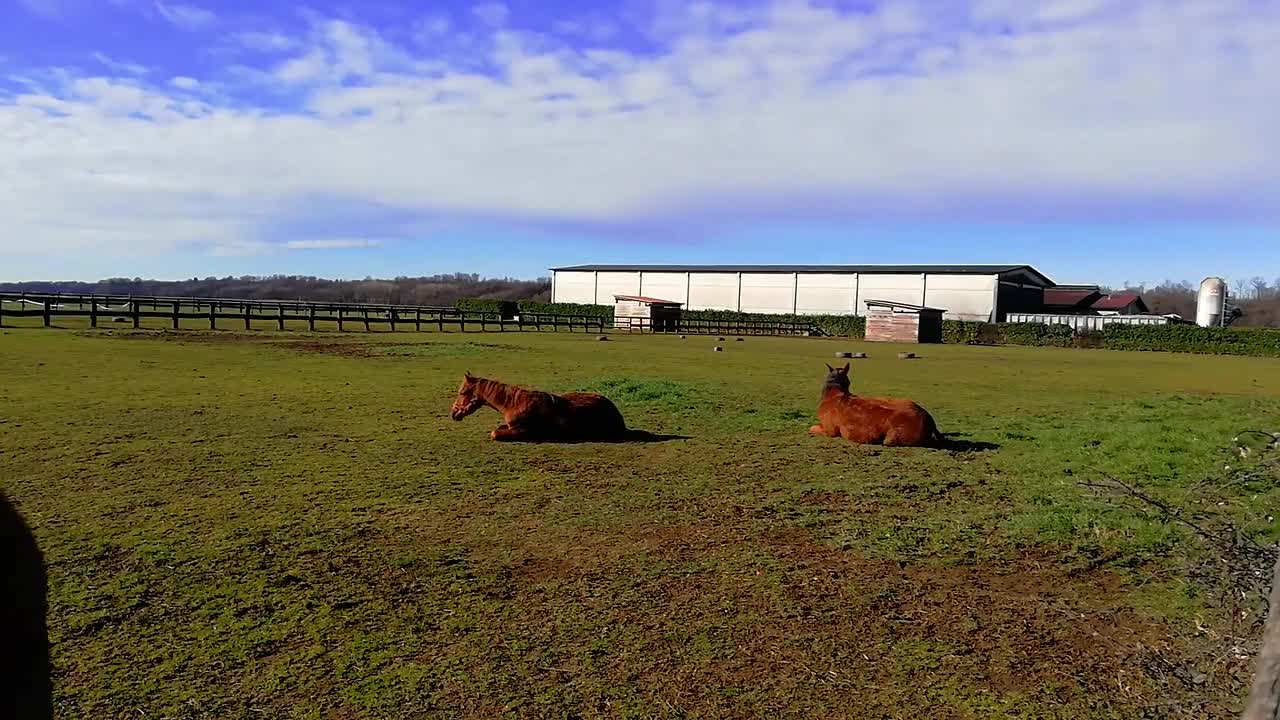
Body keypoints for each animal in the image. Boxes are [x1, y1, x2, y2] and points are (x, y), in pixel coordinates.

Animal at [803, 361, 947, 445]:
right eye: (848, 381)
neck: (833, 394)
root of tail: (928, 418)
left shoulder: (830, 430)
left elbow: (812, 428)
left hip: (892, 438)